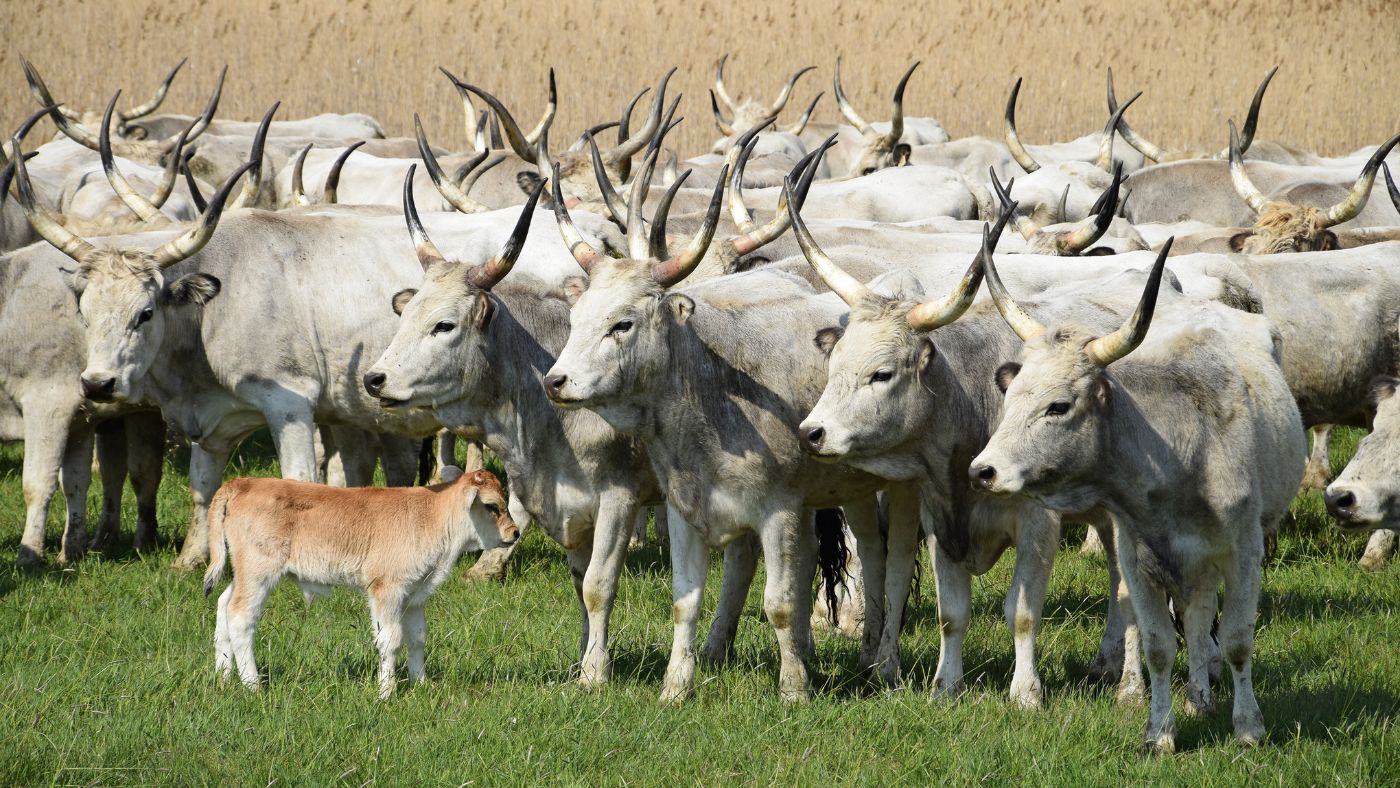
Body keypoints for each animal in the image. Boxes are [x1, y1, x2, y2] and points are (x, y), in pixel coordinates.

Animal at [203, 467, 520, 697]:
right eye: (492, 506)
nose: (515, 533)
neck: (430, 517)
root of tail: (245, 482)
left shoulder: (415, 595)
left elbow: (417, 637)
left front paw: (421, 683)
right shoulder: (387, 589)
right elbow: (391, 640)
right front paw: (387, 692)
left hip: (244, 574)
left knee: (223, 606)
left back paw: (223, 677)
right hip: (259, 573)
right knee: (241, 616)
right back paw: (253, 685)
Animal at [968, 240, 1304, 750]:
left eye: (1058, 406)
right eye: (1010, 397)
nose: (983, 471)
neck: (1182, 452)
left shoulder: (1245, 553)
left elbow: (1237, 641)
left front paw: (1249, 729)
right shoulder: (1138, 556)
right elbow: (1159, 645)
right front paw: (1160, 733)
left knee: (1205, 619)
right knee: (1196, 613)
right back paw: (1198, 697)